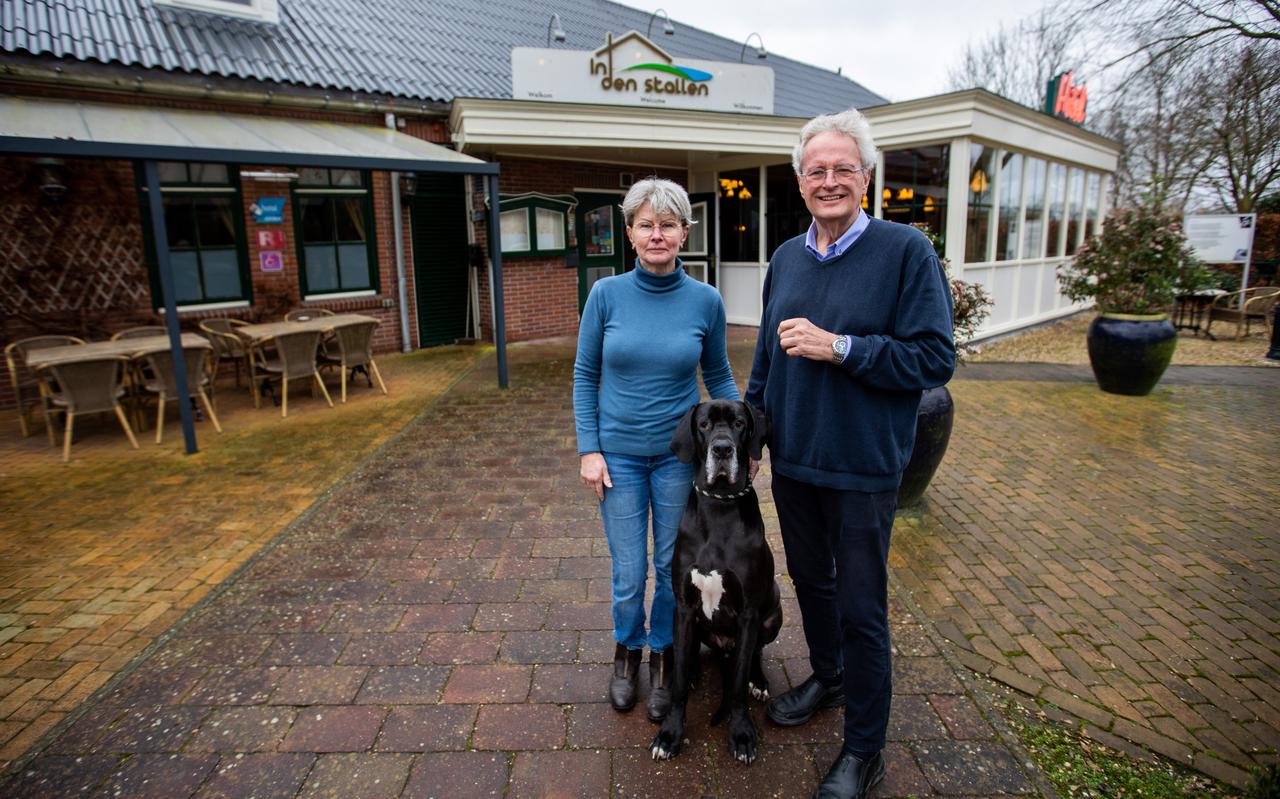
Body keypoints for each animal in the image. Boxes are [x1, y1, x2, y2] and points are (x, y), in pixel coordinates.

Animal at [650, 402, 778, 763]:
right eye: (704, 424)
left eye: (739, 423)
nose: (722, 449)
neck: (719, 503)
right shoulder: (683, 606)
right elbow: (678, 680)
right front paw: (670, 734)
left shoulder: (748, 614)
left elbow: (737, 685)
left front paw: (742, 734)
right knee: (691, 653)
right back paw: (694, 670)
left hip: (773, 613)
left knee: (754, 653)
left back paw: (759, 681)